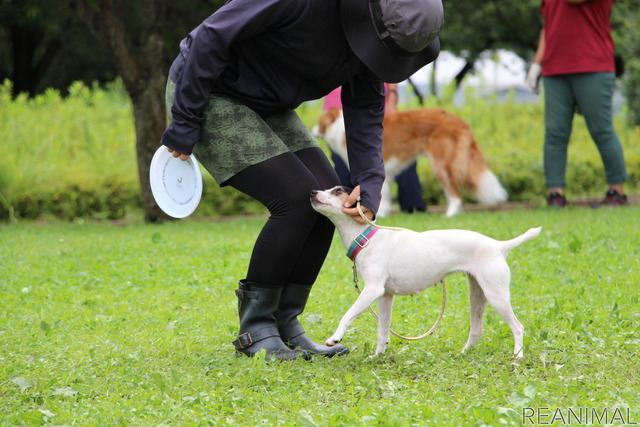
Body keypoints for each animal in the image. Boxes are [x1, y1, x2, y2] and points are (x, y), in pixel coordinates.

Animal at [310, 187, 540, 358]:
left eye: (338, 190)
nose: (312, 192)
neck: (366, 237)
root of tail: (498, 246)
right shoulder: (384, 297)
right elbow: (382, 331)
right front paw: (377, 356)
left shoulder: (372, 290)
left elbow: (347, 315)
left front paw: (335, 338)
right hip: (477, 294)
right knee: (476, 330)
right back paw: (463, 354)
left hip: (496, 294)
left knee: (518, 327)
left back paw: (517, 357)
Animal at [312, 107, 508, 217]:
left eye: (319, 122)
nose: (312, 130)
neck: (340, 126)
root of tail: (460, 121)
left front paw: (378, 213)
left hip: (441, 164)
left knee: (455, 193)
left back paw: (450, 214)